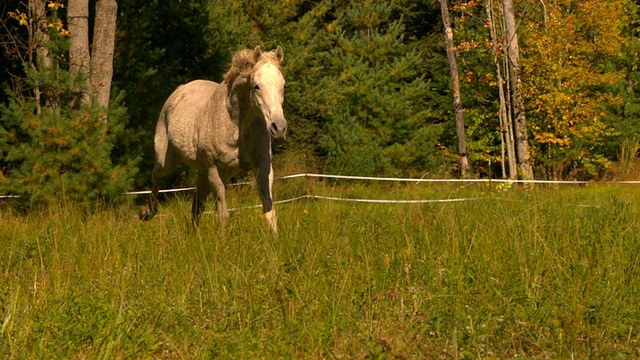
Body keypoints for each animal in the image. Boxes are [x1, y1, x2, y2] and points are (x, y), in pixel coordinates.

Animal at [145, 46, 288, 233]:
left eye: (283, 86)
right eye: (256, 86)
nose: (279, 127)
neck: (235, 126)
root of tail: (178, 91)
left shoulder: (262, 165)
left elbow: (269, 211)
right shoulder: (215, 170)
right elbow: (222, 215)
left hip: (202, 171)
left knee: (197, 204)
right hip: (168, 162)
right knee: (156, 174)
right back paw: (148, 213)